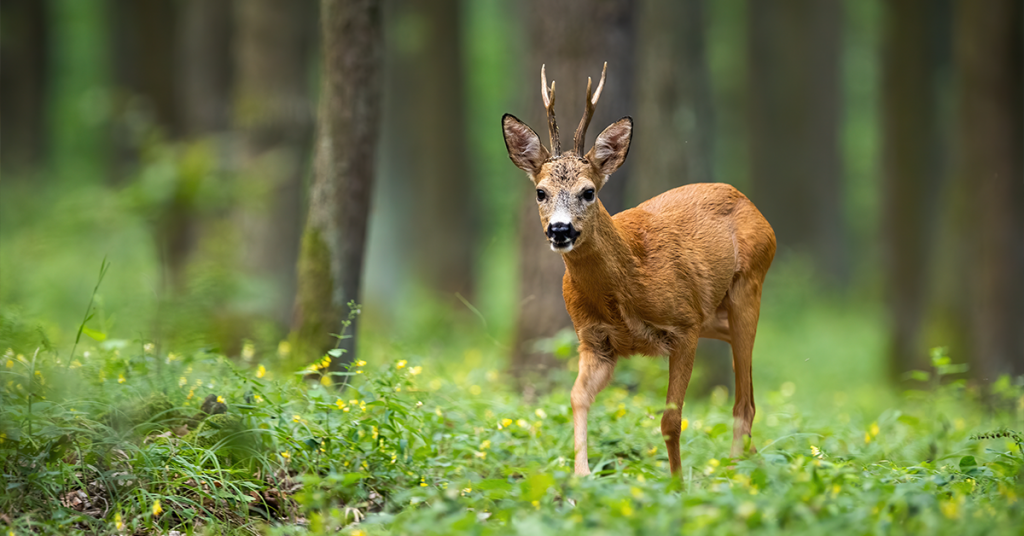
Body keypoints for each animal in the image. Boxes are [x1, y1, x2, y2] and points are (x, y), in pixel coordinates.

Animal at [499, 65, 770, 475]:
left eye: (589, 191)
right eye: (540, 192)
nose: (560, 230)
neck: (626, 287)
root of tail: (757, 211)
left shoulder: (684, 325)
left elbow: (671, 419)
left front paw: (676, 482)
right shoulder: (596, 340)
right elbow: (577, 397)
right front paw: (582, 475)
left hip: (747, 287)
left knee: (743, 401)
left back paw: (735, 468)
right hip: (715, 314)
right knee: (747, 386)